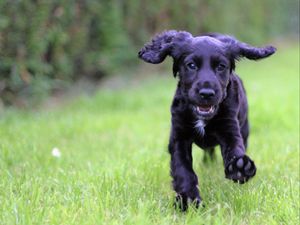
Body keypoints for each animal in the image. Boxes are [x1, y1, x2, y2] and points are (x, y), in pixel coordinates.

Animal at [137, 30, 276, 211]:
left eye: (221, 66)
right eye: (191, 65)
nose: (207, 93)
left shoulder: (229, 128)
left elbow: (234, 149)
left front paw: (240, 167)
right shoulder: (178, 137)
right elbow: (183, 170)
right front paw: (188, 201)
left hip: (245, 127)